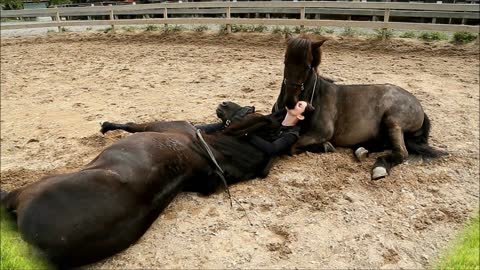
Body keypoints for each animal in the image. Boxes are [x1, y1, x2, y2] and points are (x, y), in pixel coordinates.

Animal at [0, 102, 276, 268]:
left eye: (248, 111)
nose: (223, 103)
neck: (207, 147)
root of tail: (42, 250)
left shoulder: (155, 125)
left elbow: (131, 125)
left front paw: (107, 126)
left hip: (30, 190)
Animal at [274, 35, 446, 179]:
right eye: (285, 61)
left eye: (307, 66)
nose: (290, 102)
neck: (316, 96)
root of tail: (418, 105)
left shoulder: (321, 132)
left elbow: (292, 147)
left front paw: (325, 146)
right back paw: (361, 150)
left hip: (393, 122)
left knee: (401, 152)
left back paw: (379, 167)